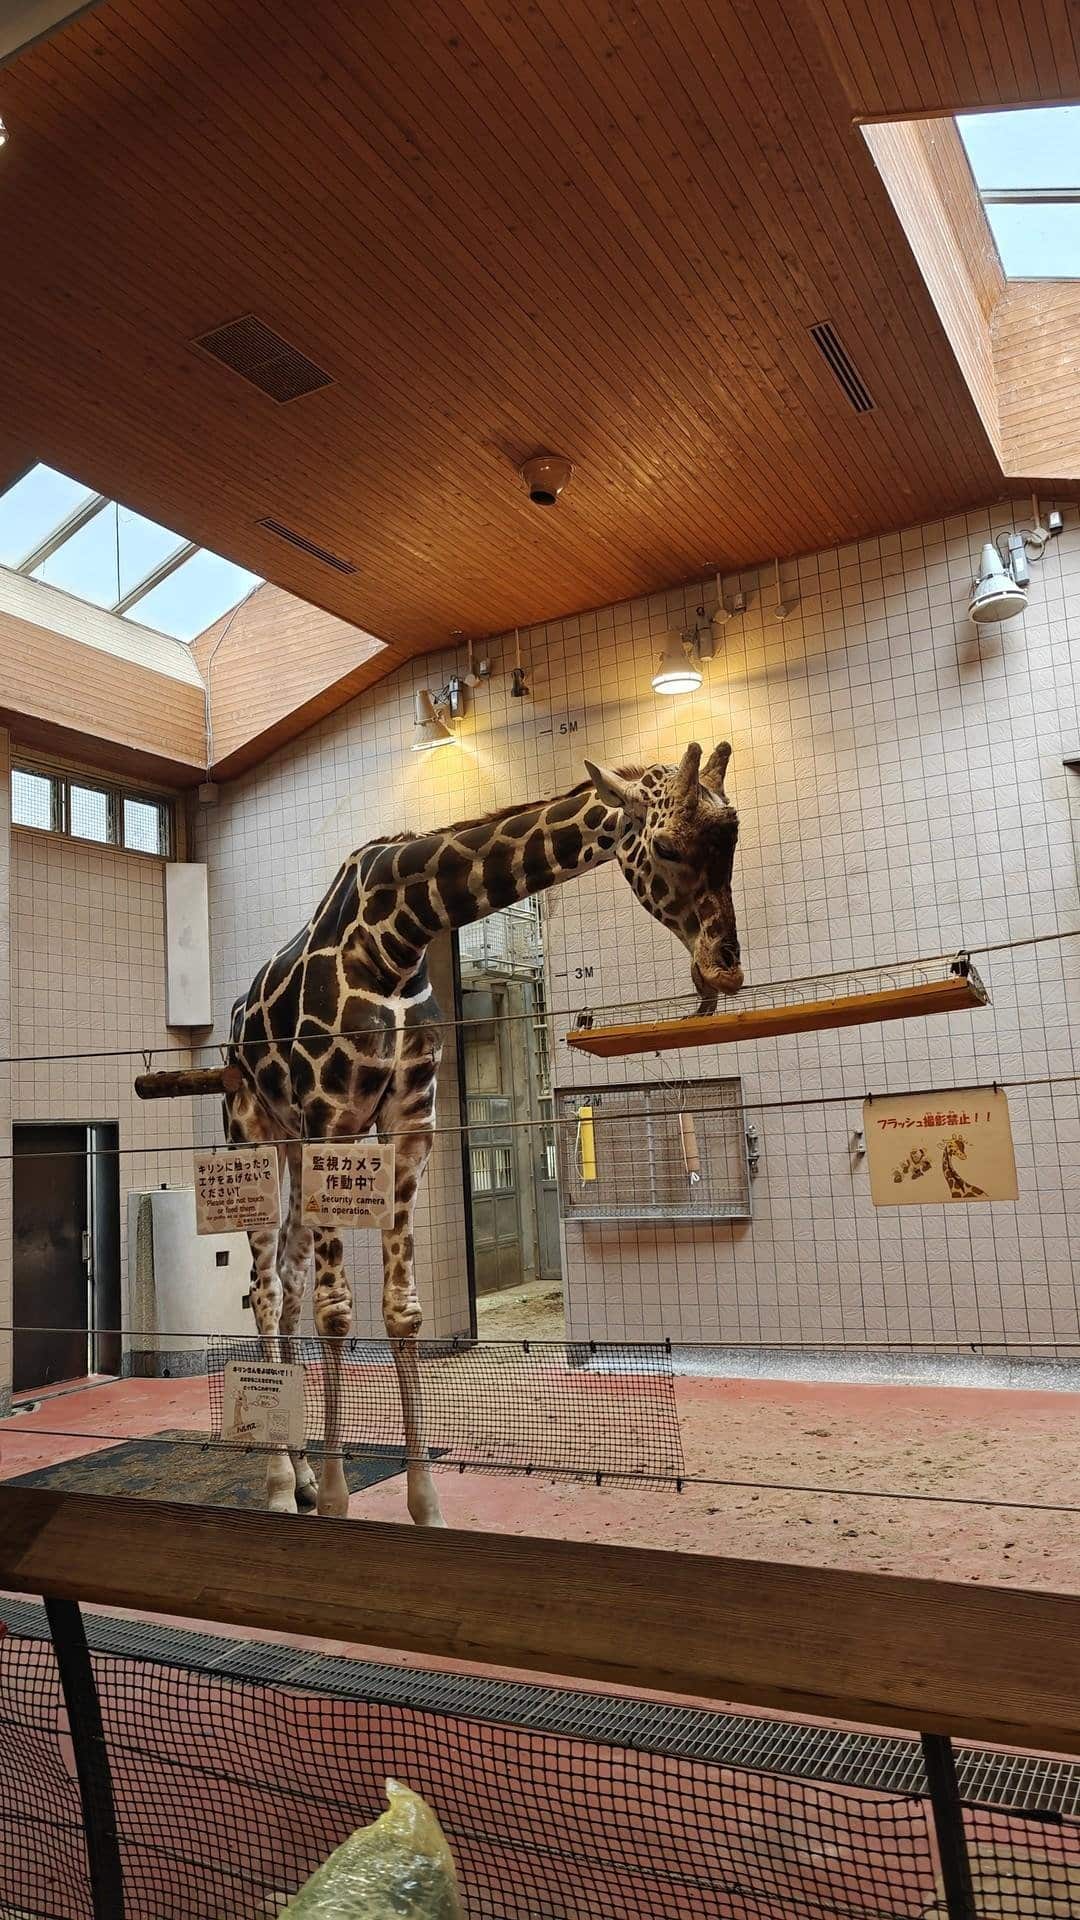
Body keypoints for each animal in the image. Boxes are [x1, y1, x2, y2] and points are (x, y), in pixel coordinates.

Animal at [223, 739, 742, 1525]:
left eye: (733, 843)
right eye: (672, 847)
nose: (725, 968)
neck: (396, 936)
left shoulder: (409, 1128)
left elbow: (401, 1312)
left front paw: (423, 1506)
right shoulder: (330, 1121)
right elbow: (338, 1313)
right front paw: (342, 1499)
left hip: (293, 1146)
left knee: (282, 1283)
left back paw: (304, 1476)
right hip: (256, 1134)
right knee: (264, 1290)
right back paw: (283, 1485)